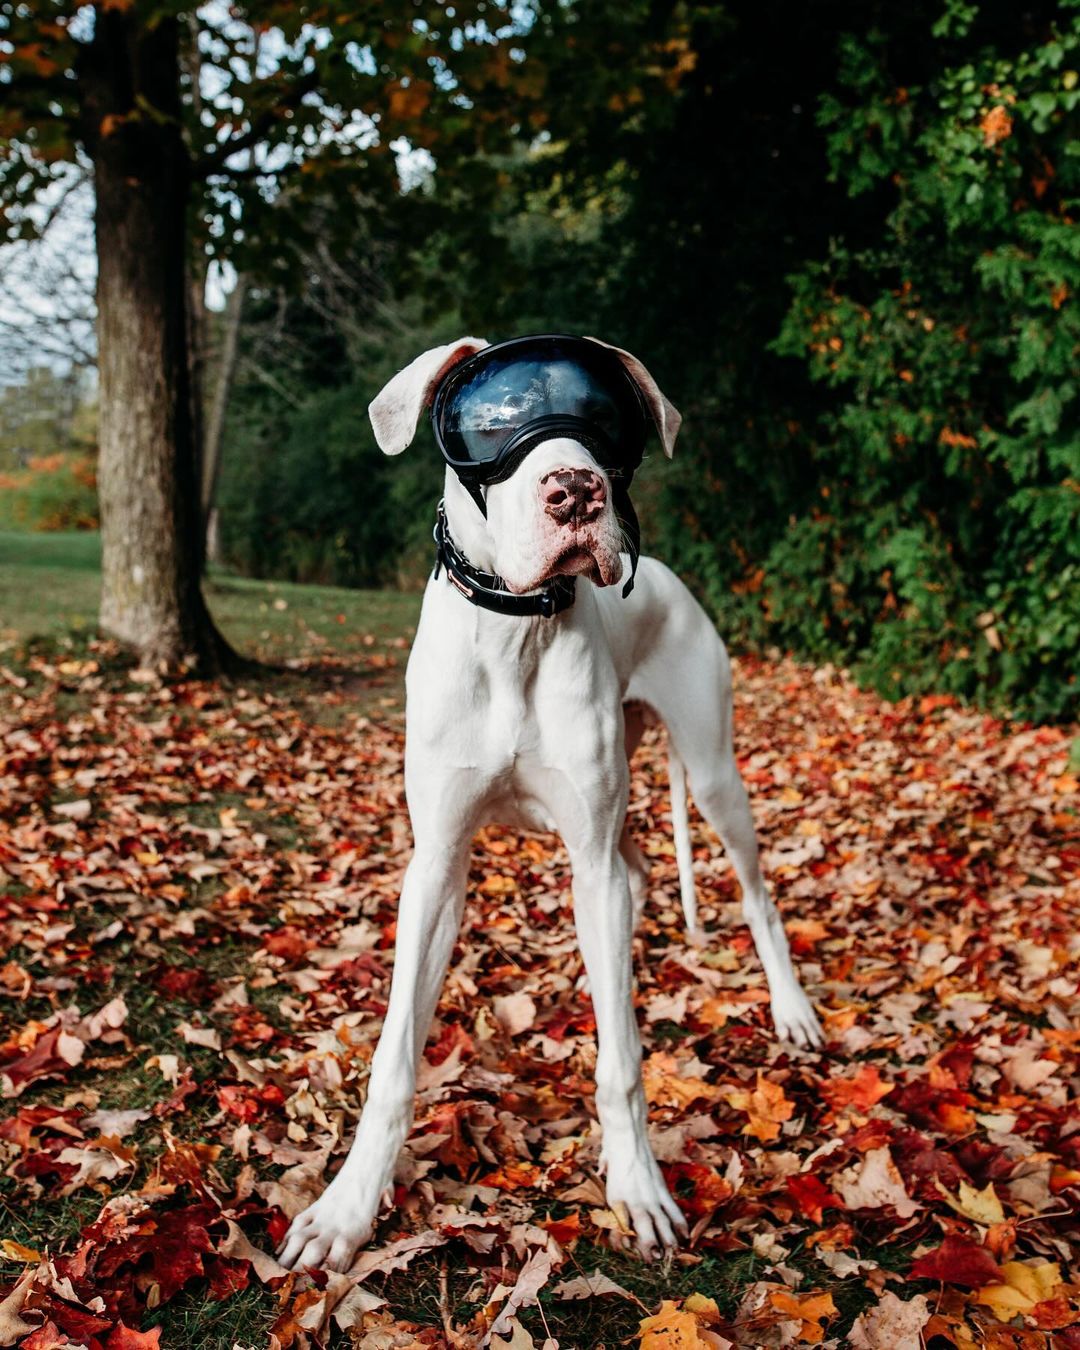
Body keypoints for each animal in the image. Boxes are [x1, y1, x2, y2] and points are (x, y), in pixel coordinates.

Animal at [276, 332, 820, 1269]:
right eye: (493, 426)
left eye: (603, 419)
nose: (576, 490)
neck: (515, 631)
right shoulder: (438, 866)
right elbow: (394, 1057)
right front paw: (346, 1209)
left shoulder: (588, 856)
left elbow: (622, 1063)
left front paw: (638, 1186)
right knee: (638, 871)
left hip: (714, 774)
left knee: (755, 896)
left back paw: (790, 1007)